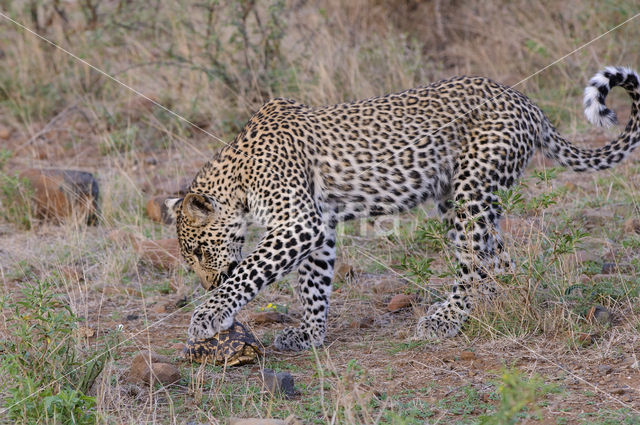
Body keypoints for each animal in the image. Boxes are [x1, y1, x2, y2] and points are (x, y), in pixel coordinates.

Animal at [166, 66, 640, 352]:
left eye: (199, 252)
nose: (207, 281)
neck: (238, 179)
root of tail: (529, 104)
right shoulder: (319, 227)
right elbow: (313, 285)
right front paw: (309, 335)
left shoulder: (298, 224)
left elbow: (248, 273)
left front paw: (207, 315)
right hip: (457, 198)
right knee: (499, 262)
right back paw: (499, 307)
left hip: (470, 192)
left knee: (474, 266)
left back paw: (445, 321)